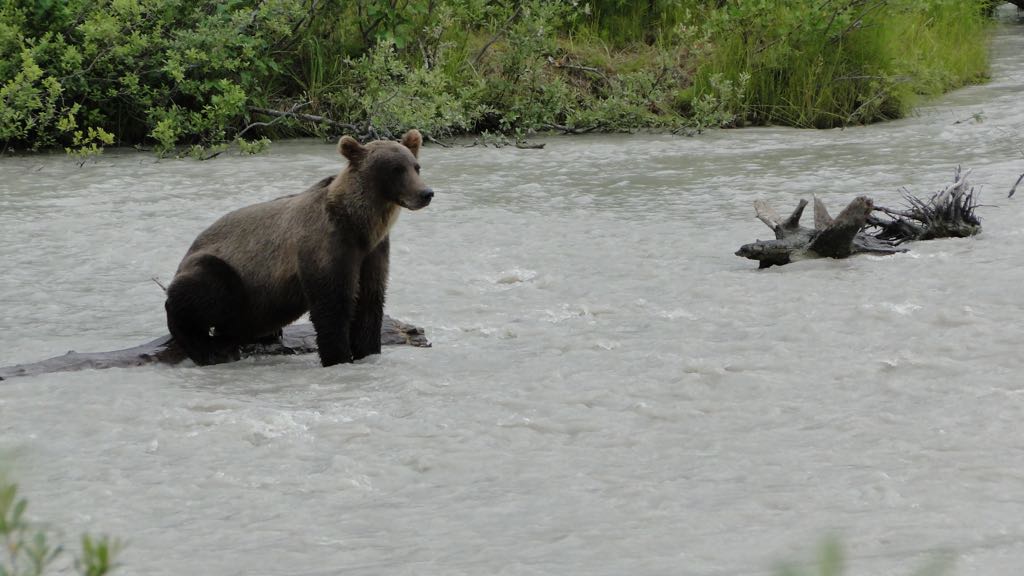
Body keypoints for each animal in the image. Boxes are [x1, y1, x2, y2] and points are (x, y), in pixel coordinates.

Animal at [164, 129, 433, 367]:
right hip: (223, 268)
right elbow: (332, 305)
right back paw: (205, 348)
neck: (359, 225)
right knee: (203, 291)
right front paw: (338, 357)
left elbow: (369, 302)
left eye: (416, 166)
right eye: (396, 169)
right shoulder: (326, 245)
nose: (426, 192)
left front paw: (368, 351)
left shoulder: (373, 251)